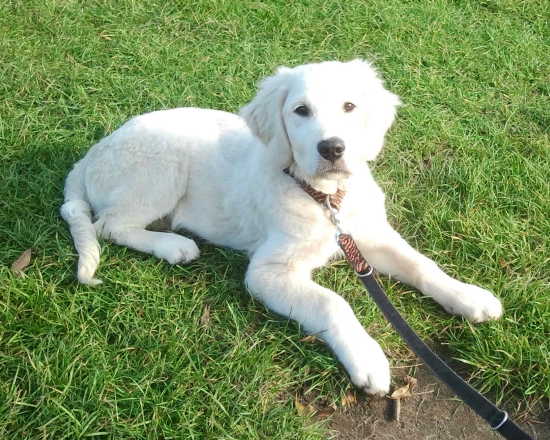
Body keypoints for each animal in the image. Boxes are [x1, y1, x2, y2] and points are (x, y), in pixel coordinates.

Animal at [61, 60, 503, 394]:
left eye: (349, 106)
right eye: (300, 111)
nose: (332, 148)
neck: (324, 197)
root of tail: (92, 153)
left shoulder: (368, 236)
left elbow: (422, 264)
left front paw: (468, 296)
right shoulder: (267, 271)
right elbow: (332, 302)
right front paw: (367, 358)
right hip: (162, 167)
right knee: (109, 225)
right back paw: (172, 245)